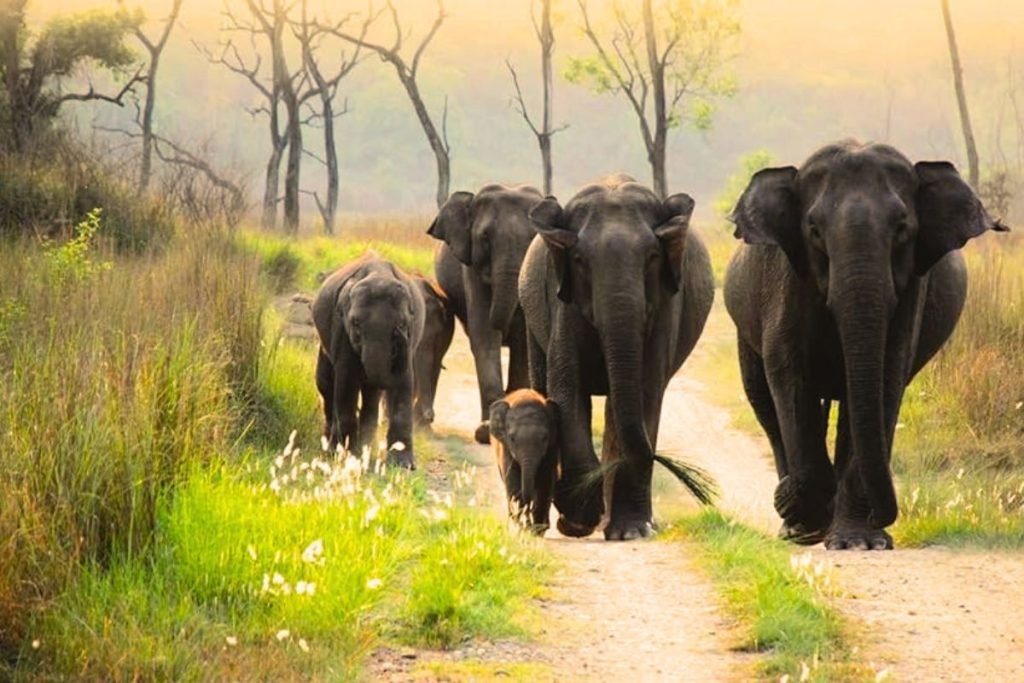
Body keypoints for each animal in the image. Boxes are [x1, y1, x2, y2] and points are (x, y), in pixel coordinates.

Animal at [312, 252, 426, 468]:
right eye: (356, 323)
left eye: (401, 324)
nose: (401, 334)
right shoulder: (342, 331)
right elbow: (346, 383)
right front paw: (344, 455)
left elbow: (405, 385)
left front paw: (404, 465)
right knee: (326, 385)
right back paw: (333, 447)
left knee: (371, 397)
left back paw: (364, 447)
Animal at [429, 184, 545, 445]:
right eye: (484, 238)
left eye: (532, 238)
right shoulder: (471, 269)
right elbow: (485, 337)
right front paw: (486, 432)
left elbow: (522, 345)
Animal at [489, 389, 559, 535]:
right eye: (512, 438)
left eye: (544, 438)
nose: (528, 525)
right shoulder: (506, 448)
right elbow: (513, 482)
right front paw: (521, 527)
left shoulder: (552, 447)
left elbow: (545, 481)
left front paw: (537, 530)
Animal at [518, 174, 715, 541]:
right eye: (579, 259)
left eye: (652, 256)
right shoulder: (562, 300)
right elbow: (567, 387)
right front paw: (577, 521)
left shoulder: (666, 304)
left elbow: (646, 391)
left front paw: (630, 532)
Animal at [724, 141, 1008, 550]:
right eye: (813, 230)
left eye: (902, 229)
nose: (883, 516)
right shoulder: (785, 279)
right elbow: (789, 373)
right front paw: (801, 514)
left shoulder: (912, 287)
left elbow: (889, 374)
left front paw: (861, 542)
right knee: (763, 400)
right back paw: (796, 526)